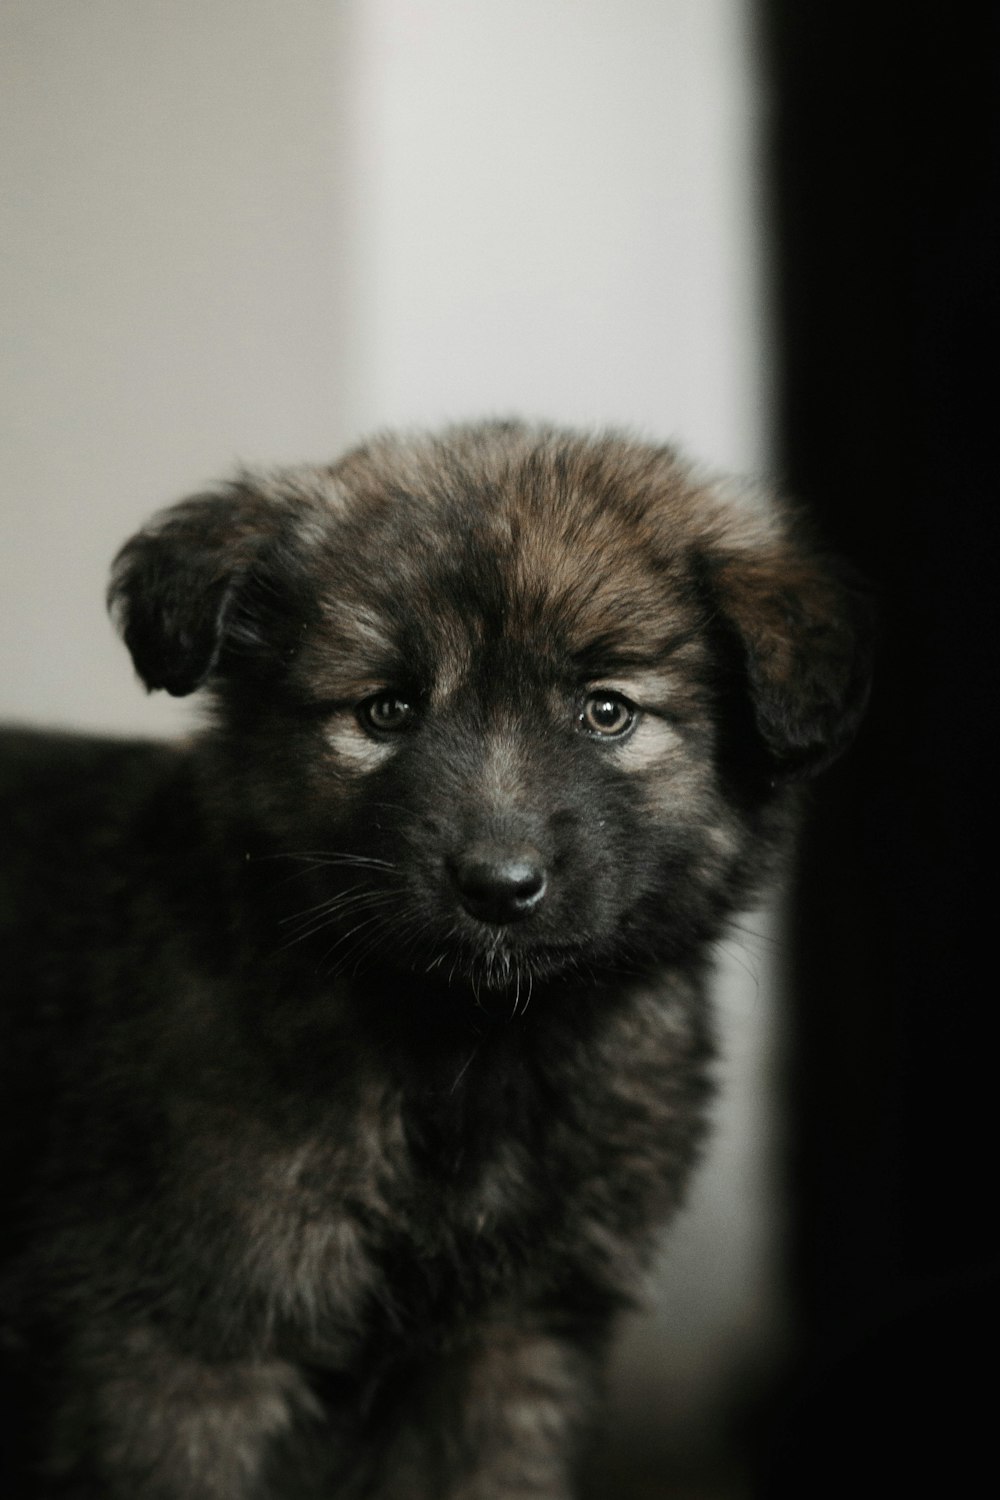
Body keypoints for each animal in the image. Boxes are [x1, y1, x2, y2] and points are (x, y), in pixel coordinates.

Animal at [0, 426, 869, 1500]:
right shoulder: (179, 1354)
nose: (497, 887)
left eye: (607, 712)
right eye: (386, 710)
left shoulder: (513, 1348)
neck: (470, 1051)